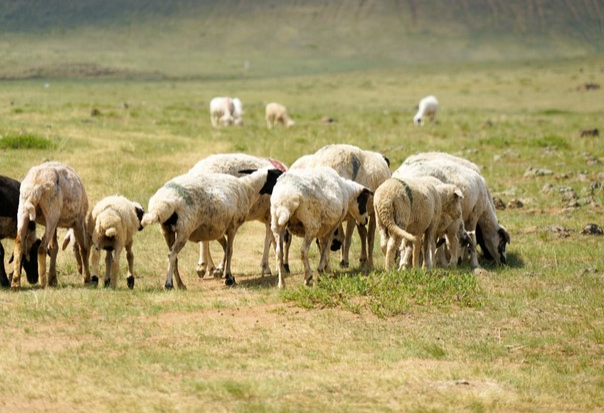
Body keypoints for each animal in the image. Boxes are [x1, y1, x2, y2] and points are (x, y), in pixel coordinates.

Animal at [12, 159, 91, 288]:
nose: (79, 270)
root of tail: (35, 187)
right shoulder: (78, 220)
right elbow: (83, 247)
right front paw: (86, 278)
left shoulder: (57, 225)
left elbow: (54, 248)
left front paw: (53, 279)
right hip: (51, 212)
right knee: (42, 247)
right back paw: (43, 281)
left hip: (23, 209)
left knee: (19, 243)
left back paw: (15, 282)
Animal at [142, 167, 284, 290]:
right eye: (278, 175)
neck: (247, 189)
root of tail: (160, 206)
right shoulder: (233, 226)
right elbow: (230, 251)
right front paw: (228, 277)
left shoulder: (218, 230)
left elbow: (225, 248)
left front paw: (220, 271)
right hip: (184, 229)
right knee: (172, 255)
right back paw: (169, 284)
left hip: (166, 231)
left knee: (173, 256)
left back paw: (181, 284)